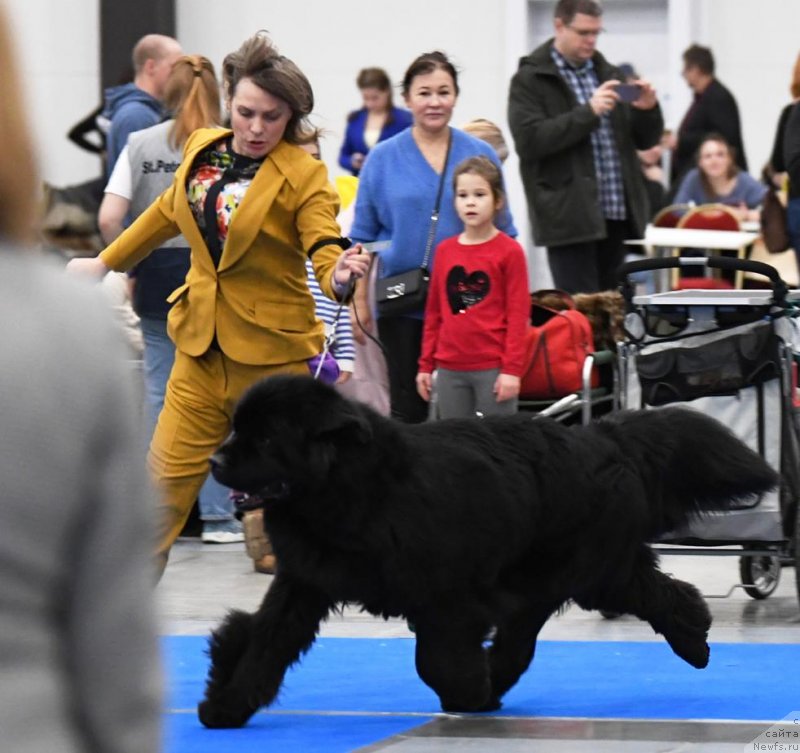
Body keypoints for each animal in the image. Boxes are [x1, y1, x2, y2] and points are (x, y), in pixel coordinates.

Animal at [198, 374, 776, 724]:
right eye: (237, 428)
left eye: (266, 439)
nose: (216, 461)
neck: (355, 490)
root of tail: (602, 434)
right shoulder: (304, 582)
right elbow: (264, 642)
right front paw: (225, 704)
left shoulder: (447, 597)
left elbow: (437, 658)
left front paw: (464, 694)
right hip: (552, 573)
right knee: (541, 628)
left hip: (585, 570)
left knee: (656, 595)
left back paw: (694, 643)